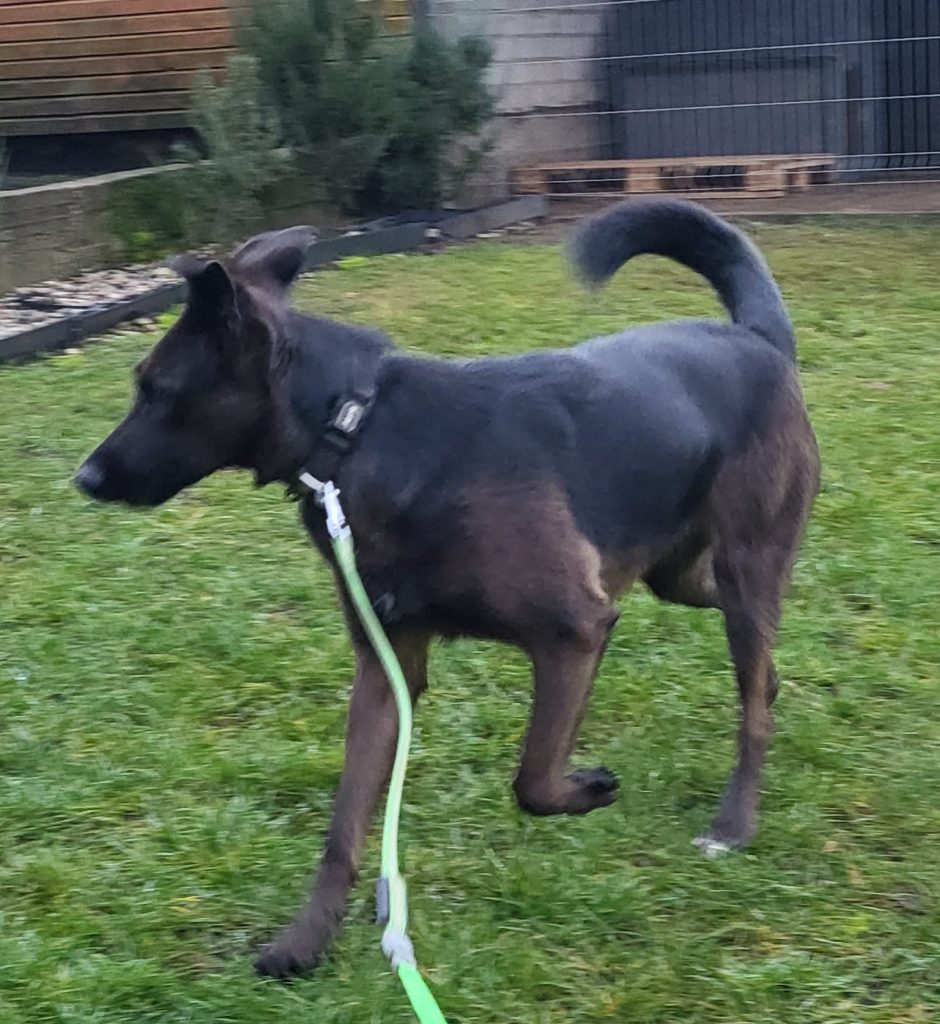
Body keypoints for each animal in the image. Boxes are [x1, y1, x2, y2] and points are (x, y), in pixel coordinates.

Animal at [75, 199, 820, 978]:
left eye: (154, 389)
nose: (84, 478)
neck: (355, 430)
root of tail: (757, 338)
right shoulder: (386, 673)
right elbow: (344, 827)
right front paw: (306, 940)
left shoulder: (576, 631)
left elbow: (531, 779)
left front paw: (586, 790)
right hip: (681, 574)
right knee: (757, 657)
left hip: (743, 567)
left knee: (752, 695)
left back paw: (733, 823)